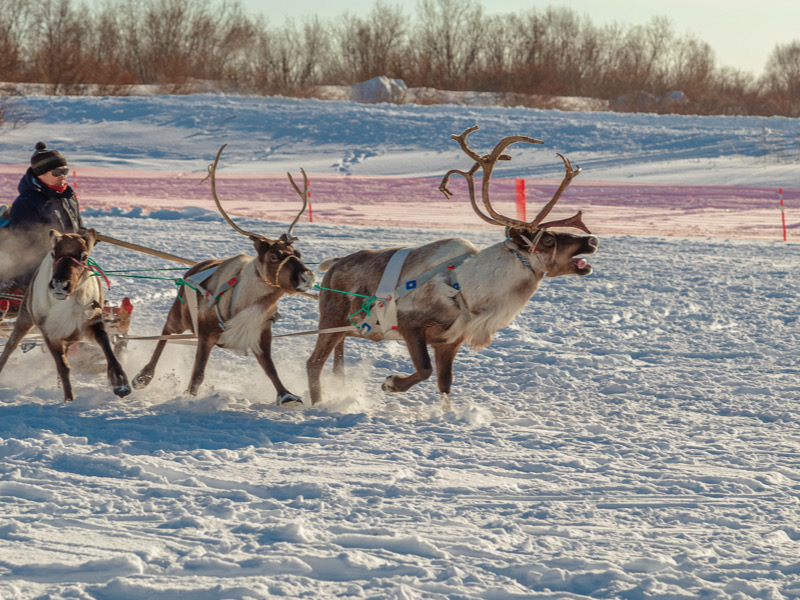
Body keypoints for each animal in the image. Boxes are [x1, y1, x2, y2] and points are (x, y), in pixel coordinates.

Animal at [0, 228, 131, 402]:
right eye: (53, 253)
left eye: (84, 256)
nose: (60, 285)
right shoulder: (49, 332)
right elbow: (63, 366)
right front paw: (69, 398)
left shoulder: (92, 321)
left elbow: (108, 348)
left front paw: (120, 383)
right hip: (26, 317)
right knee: (11, 345)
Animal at [131, 145, 316, 406]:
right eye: (273, 256)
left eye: (298, 253)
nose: (307, 277)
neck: (252, 302)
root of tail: (195, 266)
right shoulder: (206, 334)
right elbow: (197, 375)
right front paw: (188, 398)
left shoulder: (261, 333)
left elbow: (271, 369)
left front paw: (286, 395)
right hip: (179, 316)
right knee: (164, 333)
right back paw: (143, 376)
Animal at [306, 125, 599, 407]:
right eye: (548, 239)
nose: (592, 240)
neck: (471, 291)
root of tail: (333, 265)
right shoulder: (410, 325)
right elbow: (425, 369)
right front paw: (391, 383)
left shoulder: (449, 341)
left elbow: (445, 383)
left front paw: (447, 415)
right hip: (331, 318)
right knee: (314, 362)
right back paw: (317, 405)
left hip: (349, 327)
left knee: (337, 356)